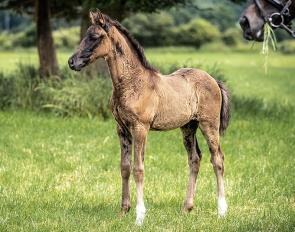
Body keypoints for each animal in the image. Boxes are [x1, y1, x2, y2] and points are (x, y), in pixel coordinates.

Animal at [69, 10, 231, 226]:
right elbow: (125, 167)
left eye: (94, 37)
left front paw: (139, 216)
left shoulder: (140, 128)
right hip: (188, 127)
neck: (131, 82)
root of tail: (214, 80)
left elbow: (138, 169)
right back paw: (186, 208)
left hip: (209, 125)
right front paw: (123, 212)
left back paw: (221, 211)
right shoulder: (122, 129)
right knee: (195, 159)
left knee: (217, 159)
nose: (72, 62)